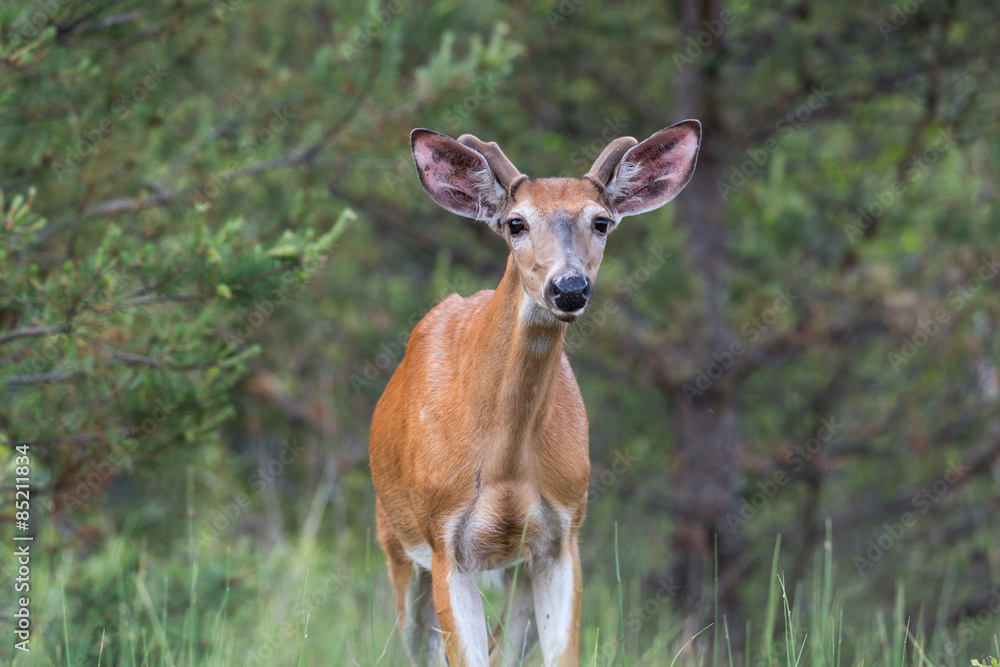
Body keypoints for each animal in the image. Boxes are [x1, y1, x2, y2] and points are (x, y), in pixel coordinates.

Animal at [369, 120, 701, 666]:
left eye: (601, 222)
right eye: (516, 223)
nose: (568, 288)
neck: (504, 460)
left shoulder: (561, 536)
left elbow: (560, 653)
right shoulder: (443, 539)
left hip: (514, 567)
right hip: (396, 540)